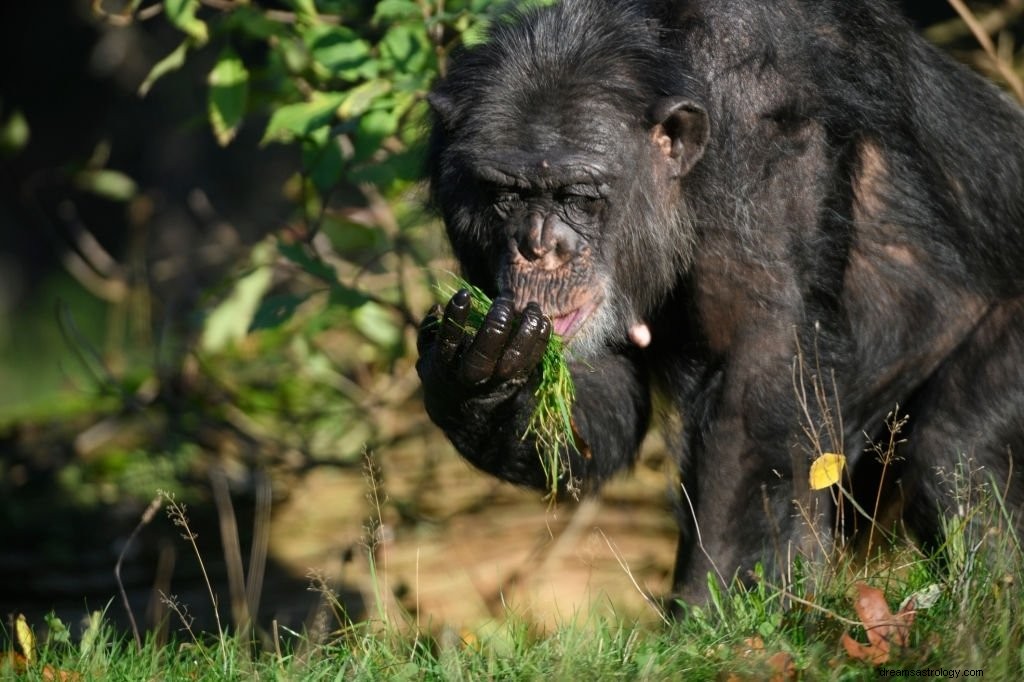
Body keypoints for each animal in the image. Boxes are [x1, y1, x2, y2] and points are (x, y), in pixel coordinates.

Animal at [413, 0, 1024, 602]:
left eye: (577, 197)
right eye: (506, 195)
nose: (539, 247)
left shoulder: (762, 121)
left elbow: (761, 362)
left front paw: (714, 604)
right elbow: (597, 404)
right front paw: (478, 382)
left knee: (954, 453)